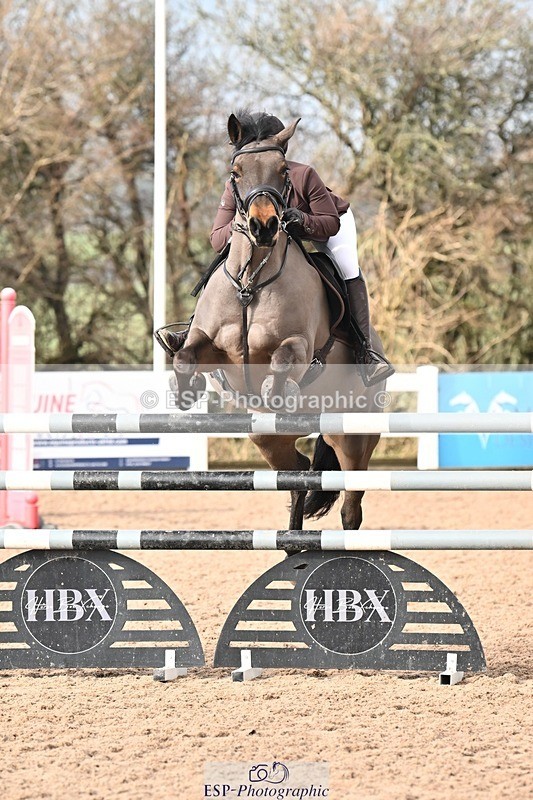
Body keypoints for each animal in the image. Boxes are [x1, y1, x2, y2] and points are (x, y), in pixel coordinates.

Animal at [170, 115, 386, 531]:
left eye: (284, 171)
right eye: (235, 173)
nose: (265, 226)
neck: (251, 282)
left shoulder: (299, 345)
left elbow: (284, 359)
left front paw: (276, 390)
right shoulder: (212, 345)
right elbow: (185, 356)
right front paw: (185, 391)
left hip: (352, 433)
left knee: (351, 504)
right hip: (266, 438)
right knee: (297, 472)